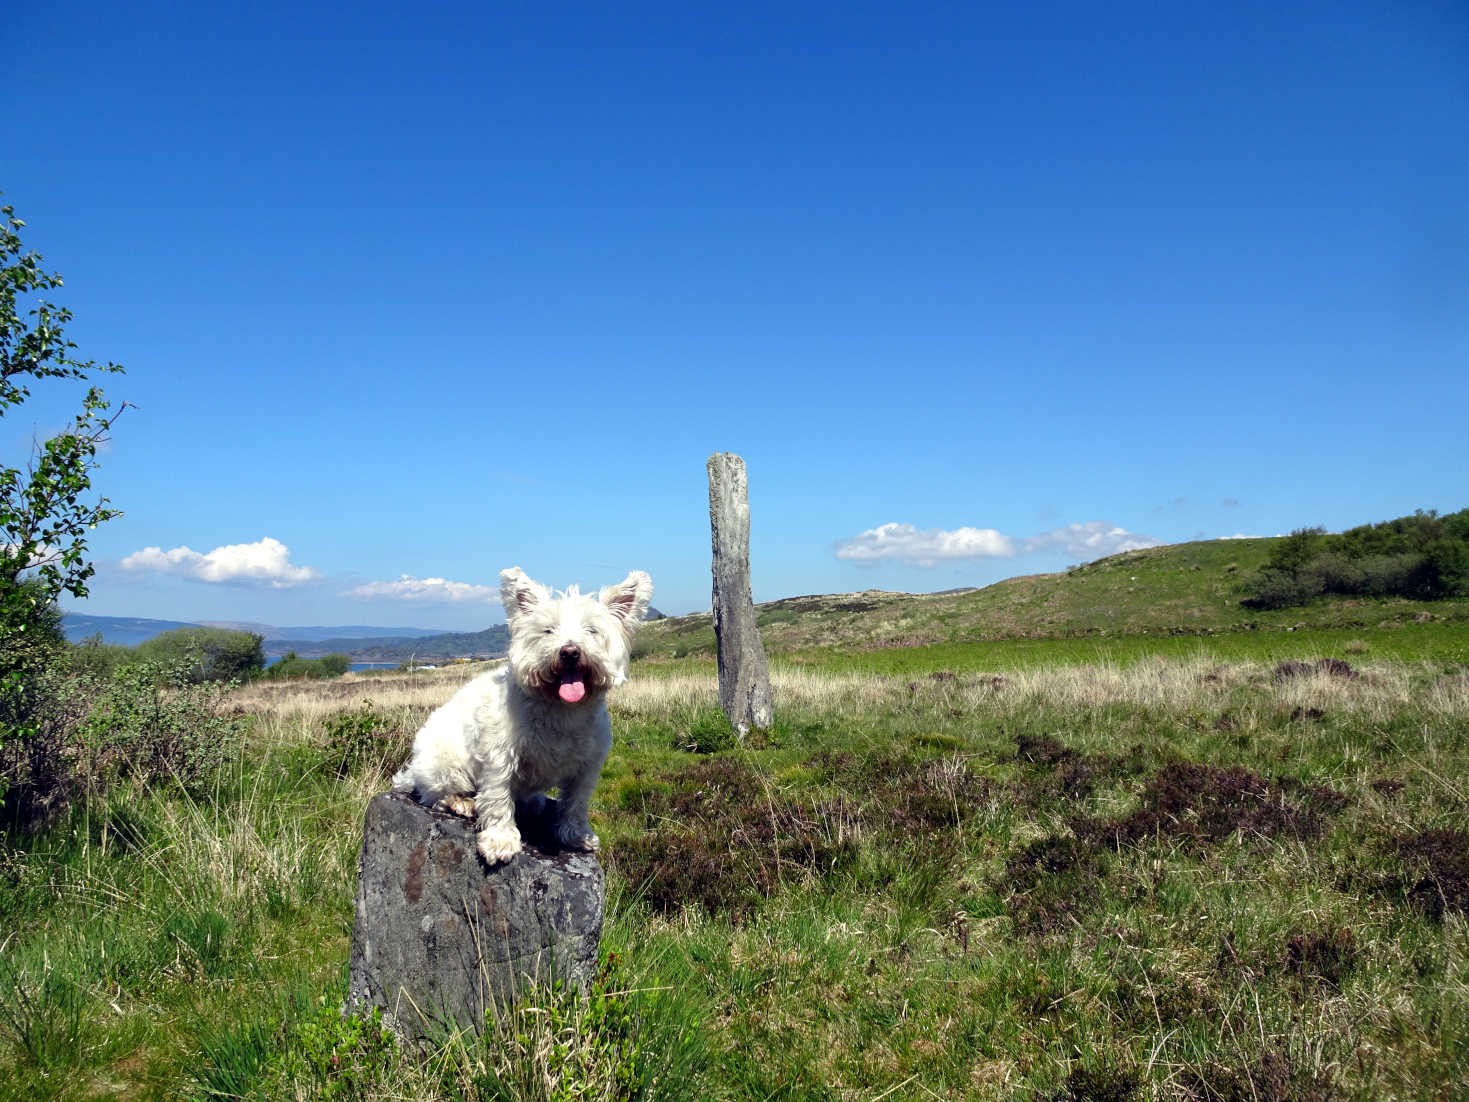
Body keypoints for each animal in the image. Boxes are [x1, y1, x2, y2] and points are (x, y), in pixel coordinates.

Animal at [387, 573, 652, 869]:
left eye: (591, 630)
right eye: (548, 630)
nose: (570, 652)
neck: (561, 709)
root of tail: (412, 771)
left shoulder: (587, 765)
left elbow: (576, 802)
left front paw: (577, 835)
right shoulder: (500, 756)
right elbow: (498, 798)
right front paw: (500, 841)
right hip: (446, 765)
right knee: (436, 796)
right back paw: (463, 803)